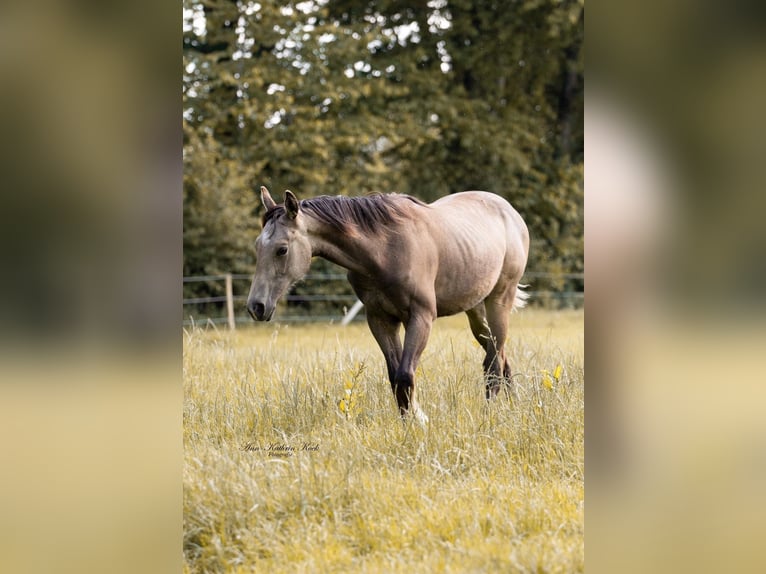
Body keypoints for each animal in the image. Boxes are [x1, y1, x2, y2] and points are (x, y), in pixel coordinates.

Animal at [247, 187, 530, 423]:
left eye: (282, 249)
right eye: (258, 246)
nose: (256, 307)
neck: (385, 249)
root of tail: (510, 212)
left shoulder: (421, 318)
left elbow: (405, 375)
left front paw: (419, 420)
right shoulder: (381, 320)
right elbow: (395, 378)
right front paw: (407, 424)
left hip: (499, 301)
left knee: (493, 361)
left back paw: (491, 412)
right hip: (476, 310)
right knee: (499, 355)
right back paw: (512, 406)